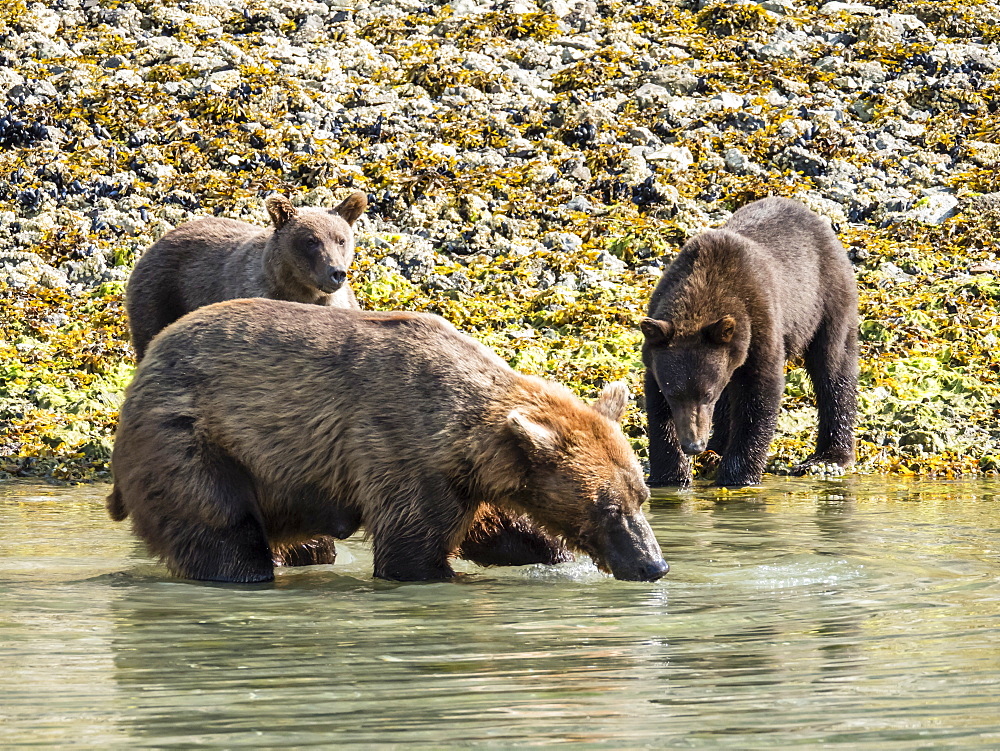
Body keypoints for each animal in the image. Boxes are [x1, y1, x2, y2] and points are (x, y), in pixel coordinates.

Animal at [105, 302, 668, 584]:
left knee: (307, 544)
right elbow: (411, 552)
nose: (653, 565)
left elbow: (497, 532)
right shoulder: (399, 450)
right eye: (606, 507)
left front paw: (549, 554)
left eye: (640, 496)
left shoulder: (466, 479)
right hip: (194, 441)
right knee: (223, 533)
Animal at [644, 198, 856, 488]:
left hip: (827, 298)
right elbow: (657, 407)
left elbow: (760, 393)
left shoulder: (759, 322)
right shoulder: (658, 344)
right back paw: (718, 444)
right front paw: (669, 475)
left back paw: (829, 456)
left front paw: (737, 475)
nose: (693, 445)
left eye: (707, 394)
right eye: (674, 393)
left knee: (834, 367)